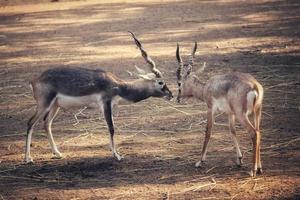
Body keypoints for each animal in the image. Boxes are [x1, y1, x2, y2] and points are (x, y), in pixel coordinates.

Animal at [24, 32, 172, 164]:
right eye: (161, 82)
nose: (171, 95)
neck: (119, 86)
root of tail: (35, 80)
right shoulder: (106, 103)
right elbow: (111, 127)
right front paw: (117, 155)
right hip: (44, 104)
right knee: (31, 123)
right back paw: (28, 158)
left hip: (55, 105)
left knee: (46, 123)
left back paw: (57, 153)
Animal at [177, 42, 264, 177]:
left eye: (179, 83)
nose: (177, 98)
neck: (206, 88)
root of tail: (254, 86)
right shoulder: (230, 113)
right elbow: (232, 131)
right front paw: (239, 159)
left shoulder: (210, 109)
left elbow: (208, 131)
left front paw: (200, 161)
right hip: (257, 112)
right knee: (259, 132)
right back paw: (259, 168)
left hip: (242, 115)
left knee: (254, 133)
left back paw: (253, 170)